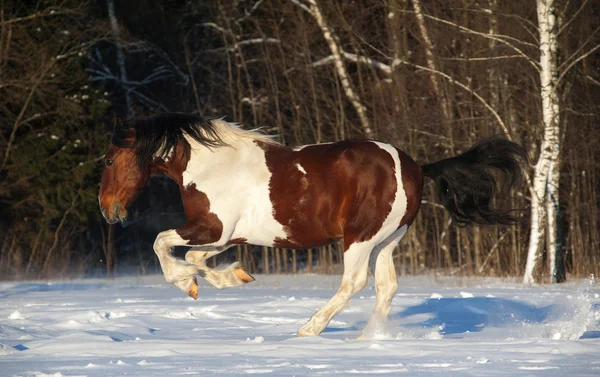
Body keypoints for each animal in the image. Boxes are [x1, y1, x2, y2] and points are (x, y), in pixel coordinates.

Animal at [98, 113, 524, 336]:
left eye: (108, 160)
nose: (107, 210)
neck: (210, 165)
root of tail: (416, 167)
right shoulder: (224, 236)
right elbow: (196, 259)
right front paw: (232, 277)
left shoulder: (212, 228)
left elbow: (161, 243)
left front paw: (188, 283)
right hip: (387, 241)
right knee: (386, 286)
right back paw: (371, 338)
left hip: (360, 238)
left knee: (355, 282)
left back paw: (310, 328)